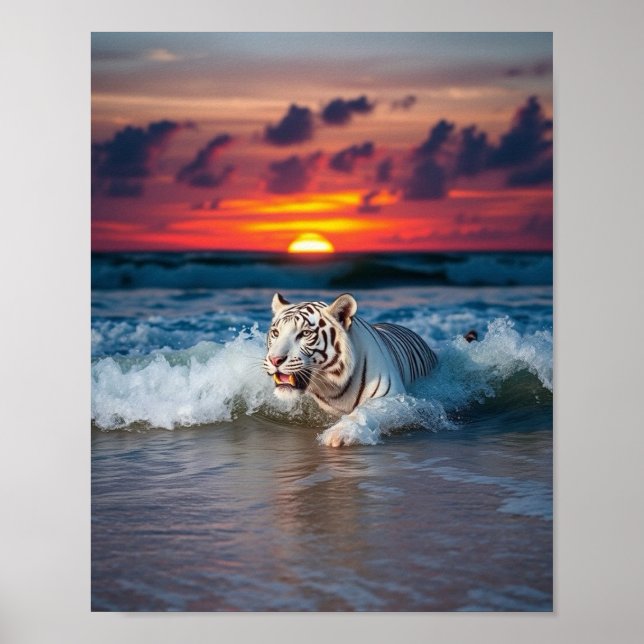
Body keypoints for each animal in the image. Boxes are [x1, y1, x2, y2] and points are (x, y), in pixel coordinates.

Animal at [264, 292, 439, 447]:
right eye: (276, 333)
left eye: (305, 333)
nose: (274, 360)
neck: (332, 385)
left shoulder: (394, 399)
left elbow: (362, 413)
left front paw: (337, 435)